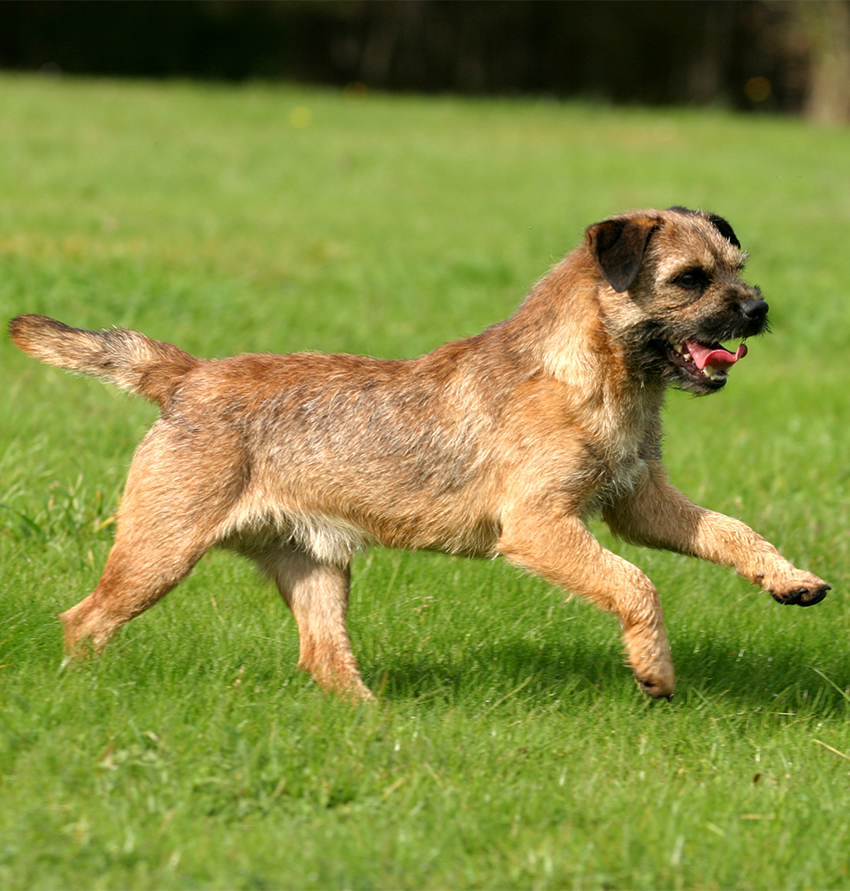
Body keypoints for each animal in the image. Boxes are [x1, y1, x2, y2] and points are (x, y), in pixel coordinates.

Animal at [8, 206, 828, 700]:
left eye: (738, 266)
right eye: (690, 280)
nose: (759, 309)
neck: (591, 371)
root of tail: (188, 377)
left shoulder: (641, 502)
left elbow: (731, 529)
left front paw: (790, 579)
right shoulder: (540, 526)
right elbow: (635, 584)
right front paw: (654, 670)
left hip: (314, 566)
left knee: (325, 657)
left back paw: (374, 721)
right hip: (160, 548)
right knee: (84, 619)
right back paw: (80, 689)